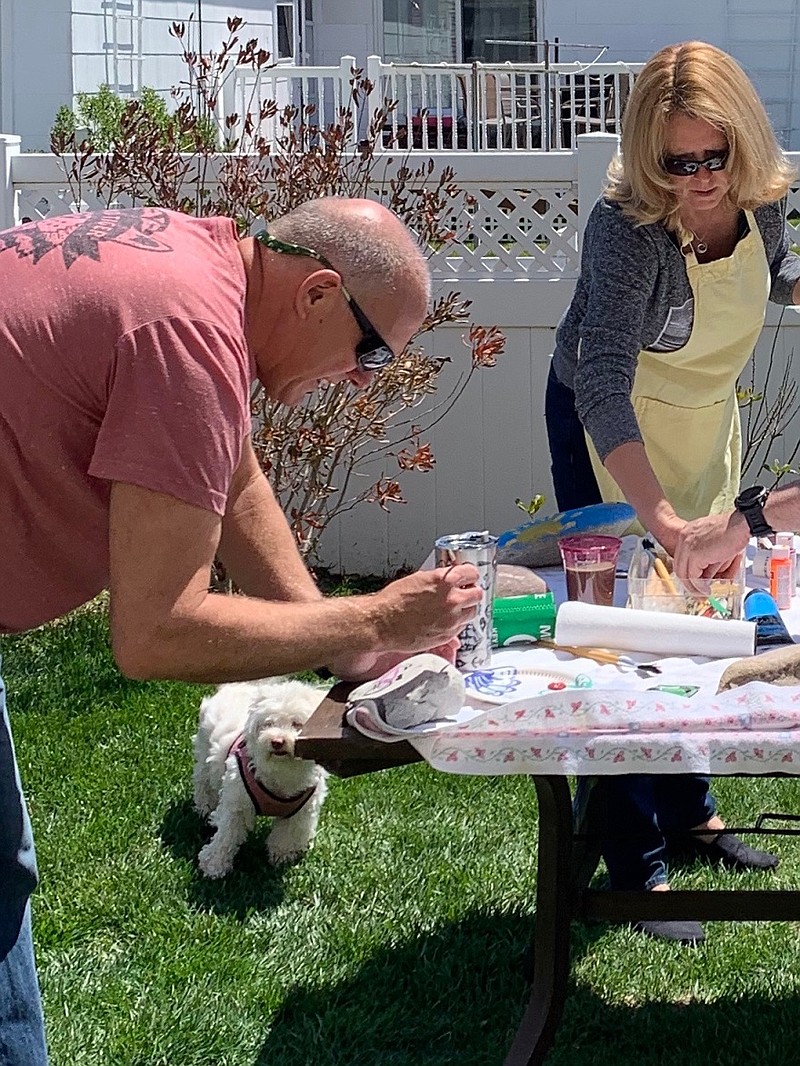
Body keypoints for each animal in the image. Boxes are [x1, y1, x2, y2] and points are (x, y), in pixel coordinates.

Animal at [193, 677, 326, 878]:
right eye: (268, 724)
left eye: (297, 724)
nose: (277, 741)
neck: (282, 771)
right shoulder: (237, 804)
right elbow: (226, 836)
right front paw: (214, 864)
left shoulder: (301, 810)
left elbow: (286, 836)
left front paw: (281, 856)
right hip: (204, 752)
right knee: (203, 782)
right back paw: (205, 807)